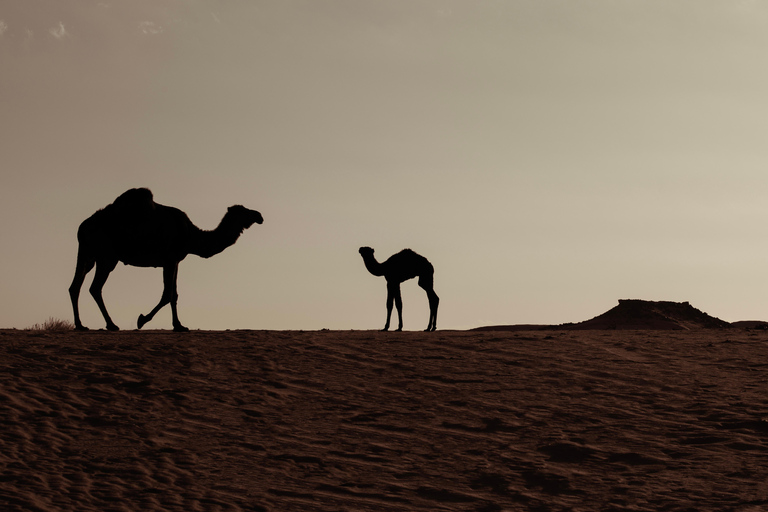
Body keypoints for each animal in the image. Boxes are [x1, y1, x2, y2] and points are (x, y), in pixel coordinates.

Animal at [69, 188, 263, 332]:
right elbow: (167, 294)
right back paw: (111, 324)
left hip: (88, 255)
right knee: (95, 288)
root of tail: (82, 227)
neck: (191, 236)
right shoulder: (170, 260)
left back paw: (80, 325)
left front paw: (179, 326)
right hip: (107, 257)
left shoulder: (175, 261)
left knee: (75, 286)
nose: (259, 216)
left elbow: (174, 294)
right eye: (244, 211)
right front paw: (142, 320)